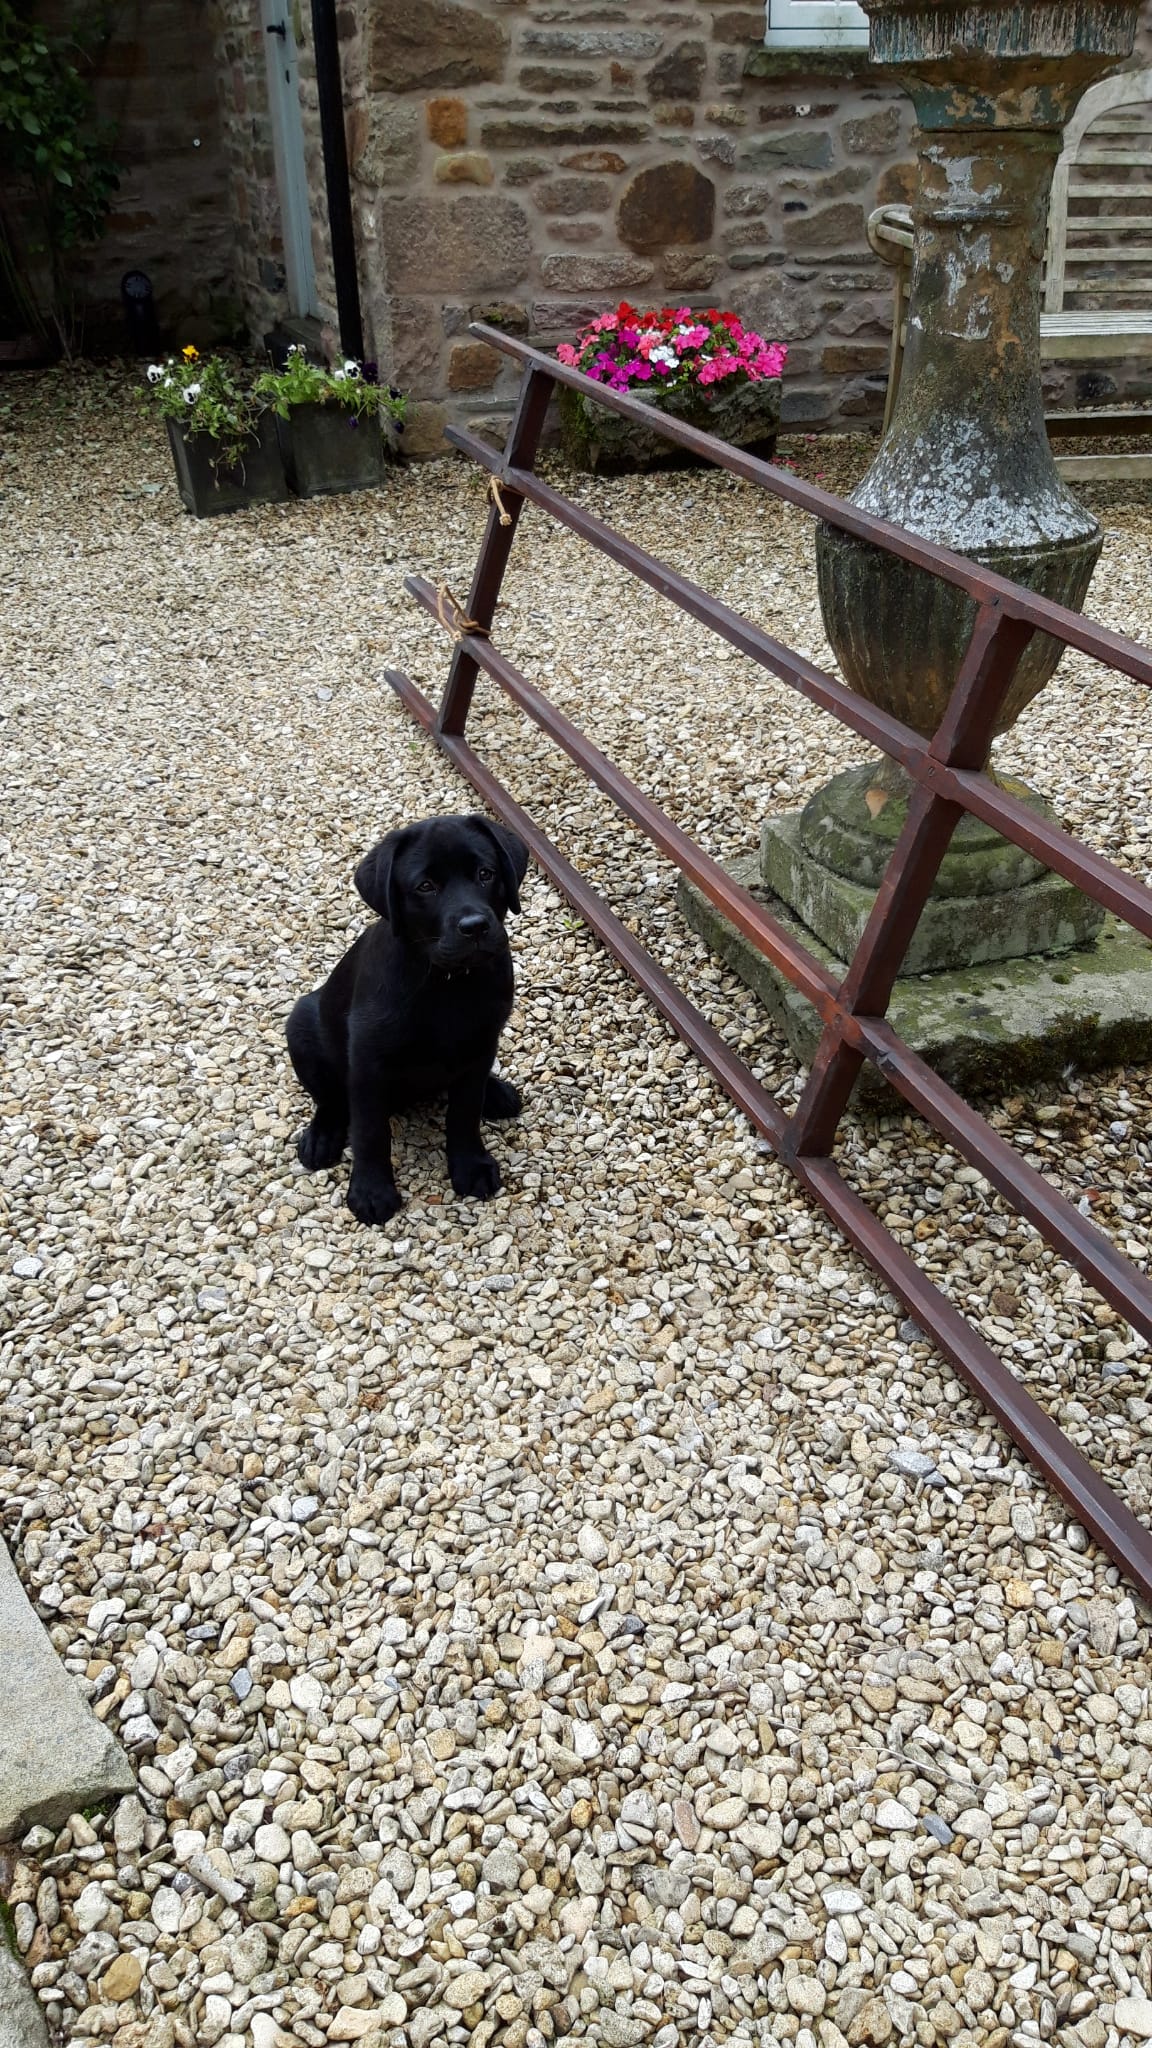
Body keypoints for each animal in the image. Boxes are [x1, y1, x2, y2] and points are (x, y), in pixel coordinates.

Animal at [284, 811, 528, 1228]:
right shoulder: (367, 1062)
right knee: (330, 1099)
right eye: (425, 886)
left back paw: (495, 1092)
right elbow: (370, 1131)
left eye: (486, 874)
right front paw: (371, 1191)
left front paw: (470, 1165)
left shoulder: (483, 1040)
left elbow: (464, 1112)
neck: (447, 982)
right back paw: (321, 1138)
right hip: (301, 1027)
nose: (476, 926)